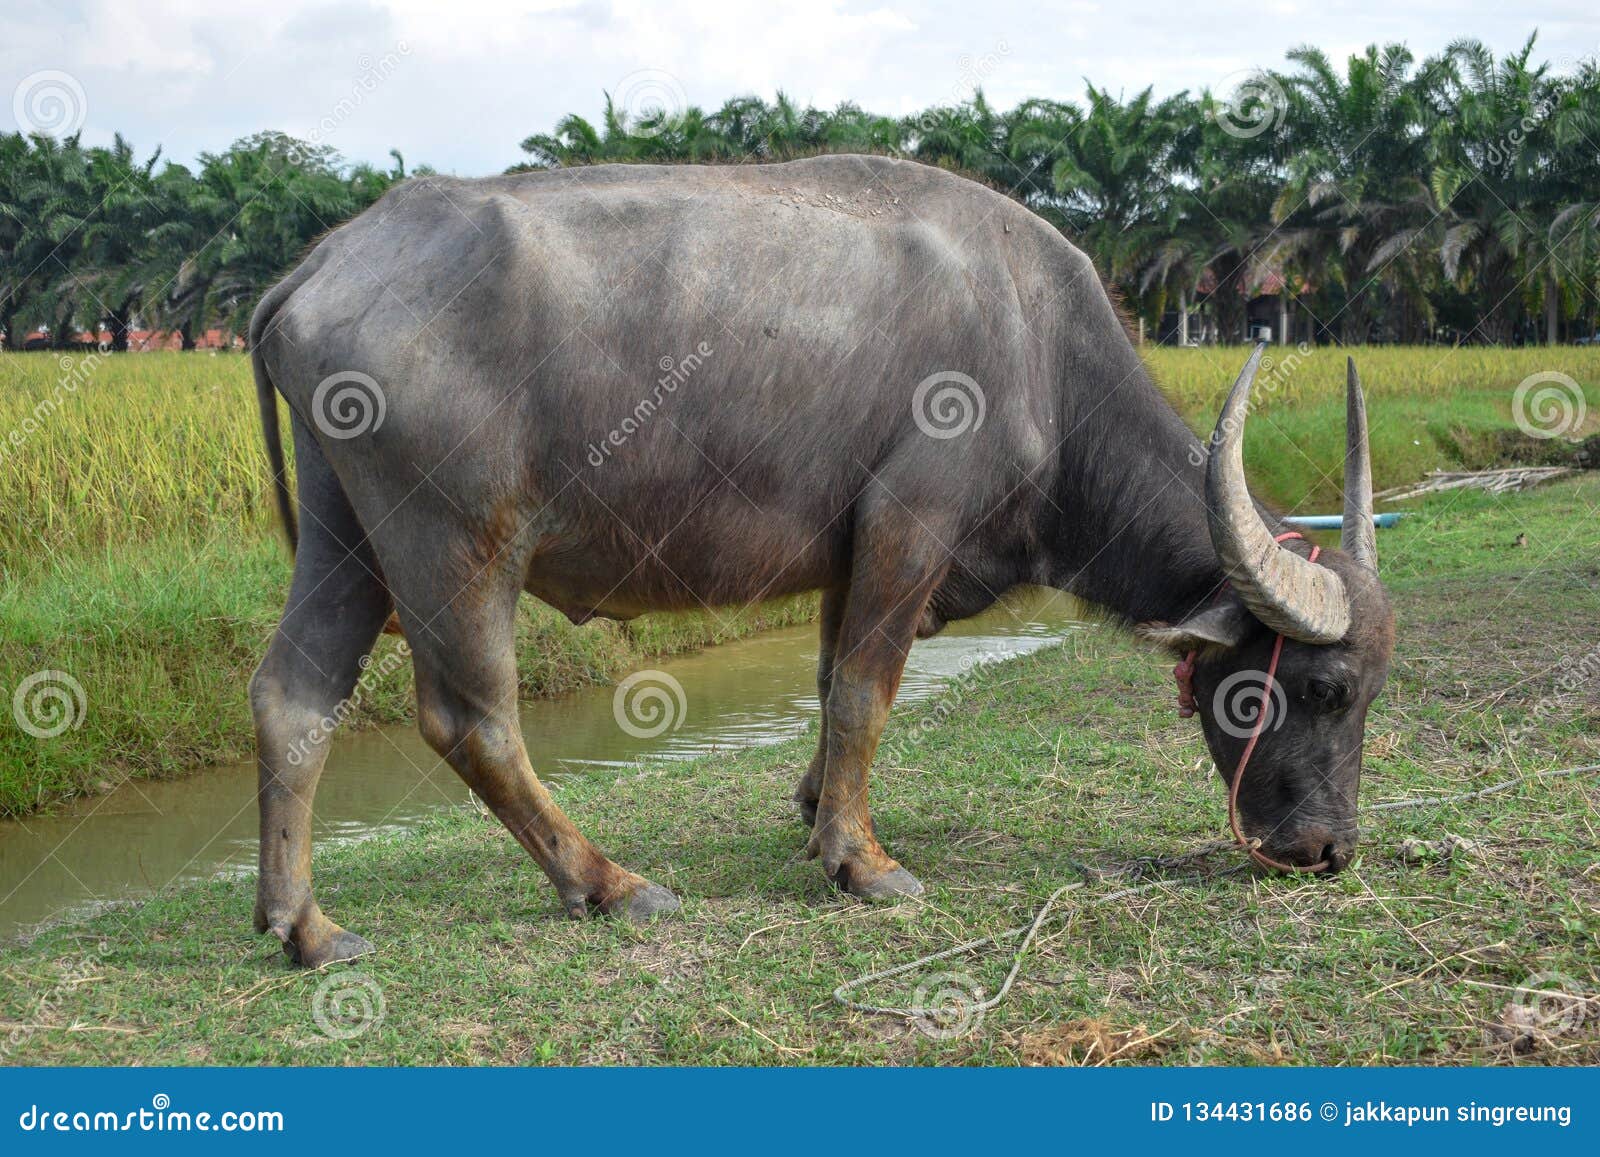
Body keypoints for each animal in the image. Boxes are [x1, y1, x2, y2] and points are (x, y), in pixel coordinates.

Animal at [246, 153, 1388, 966]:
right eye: (1324, 688)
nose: (1328, 849)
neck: (1041, 355)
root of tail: (320, 265)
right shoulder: (908, 523)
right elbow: (865, 692)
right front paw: (863, 861)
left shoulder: (854, 555)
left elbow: (833, 676)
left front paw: (813, 813)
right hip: (458, 541)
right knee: (470, 718)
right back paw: (609, 883)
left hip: (350, 533)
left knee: (295, 693)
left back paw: (306, 925)